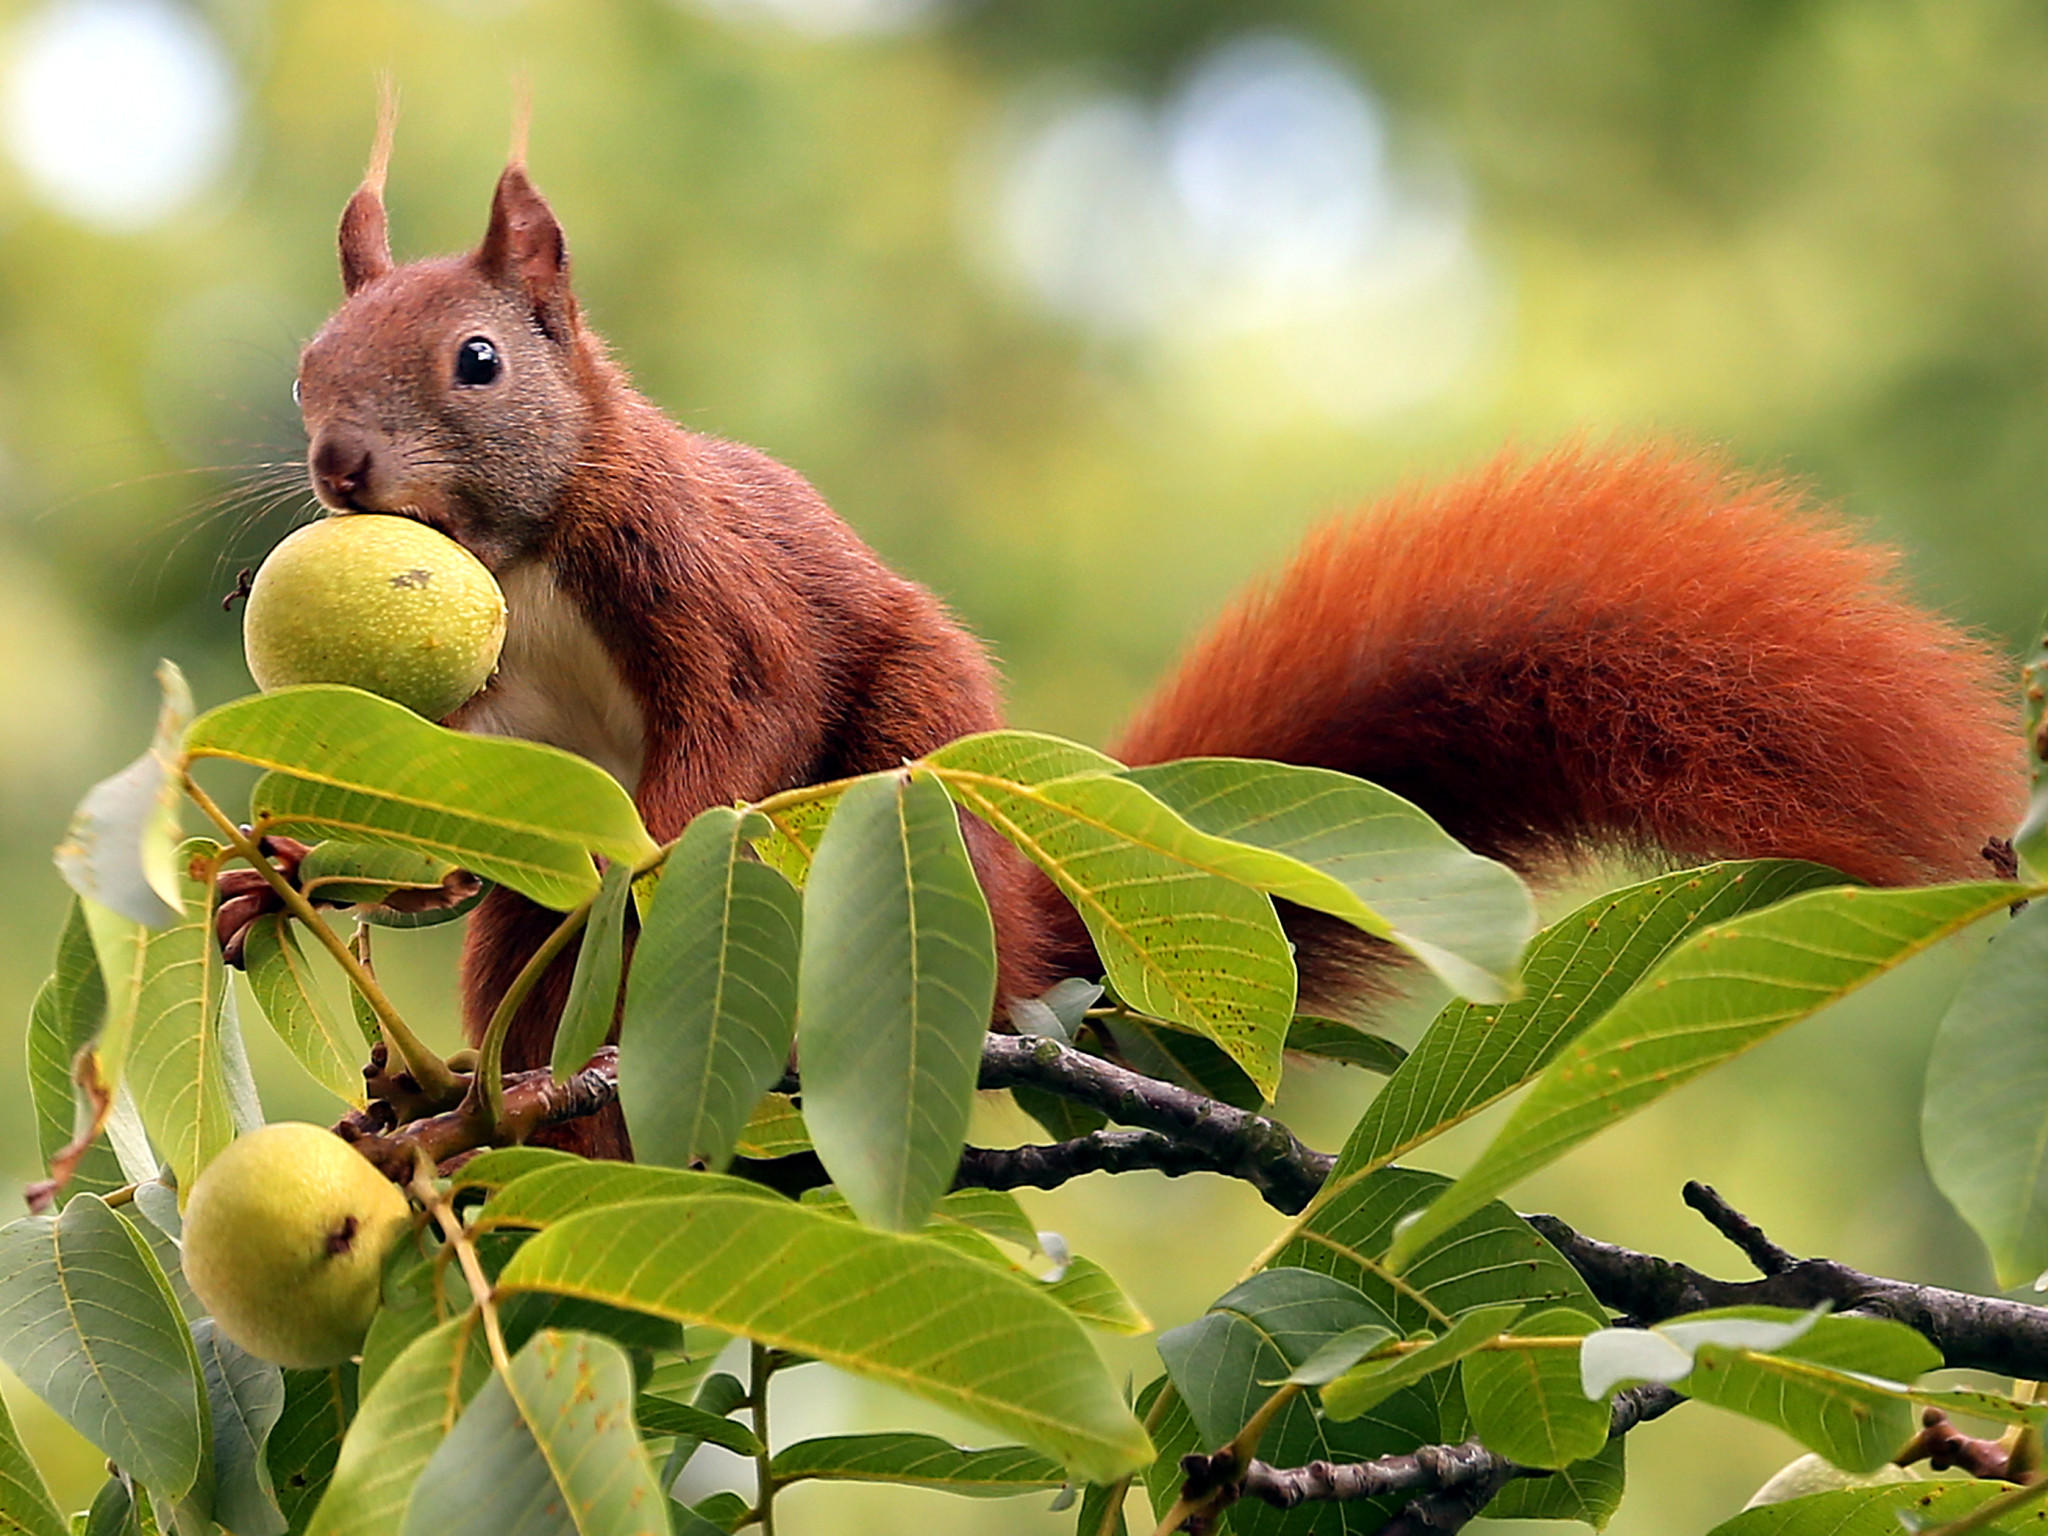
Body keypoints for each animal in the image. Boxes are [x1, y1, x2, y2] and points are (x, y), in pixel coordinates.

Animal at [292, 153, 2031, 1155]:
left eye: (477, 360)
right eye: (310, 361)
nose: (335, 466)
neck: (523, 552)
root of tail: (1024, 936)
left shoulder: (704, 576)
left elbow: (755, 705)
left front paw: (654, 849)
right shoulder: (488, 705)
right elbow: (450, 819)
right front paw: (285, 879)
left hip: (916, 774)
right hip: (540, 944)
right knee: (511, 939)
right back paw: (479, 1095)